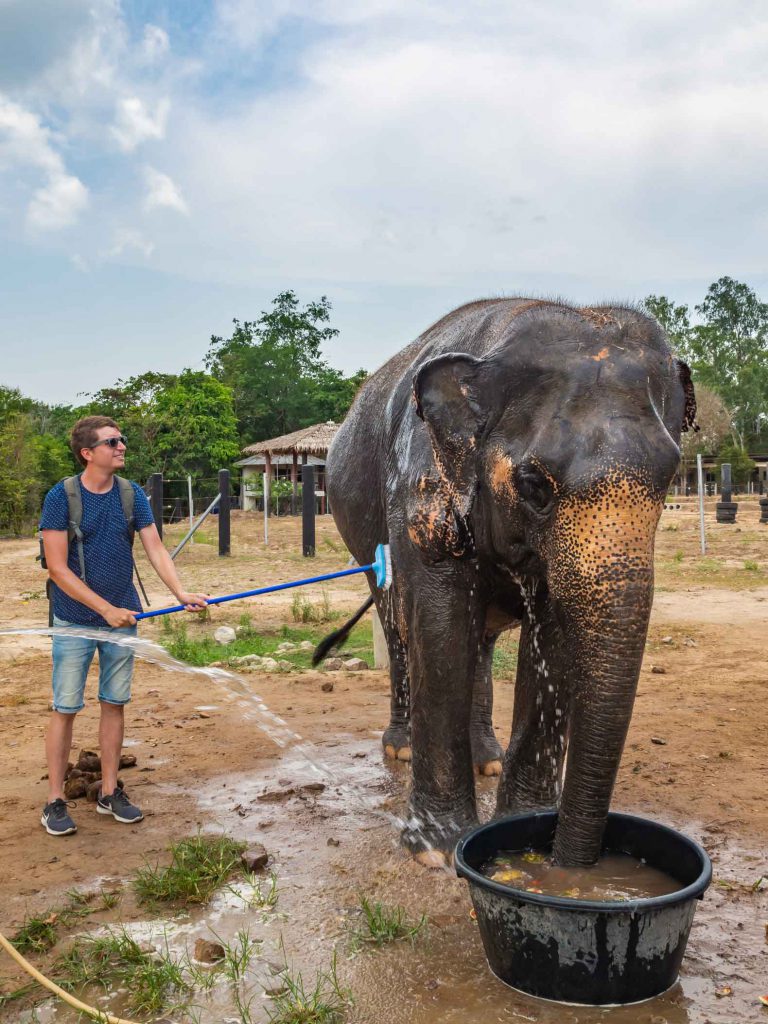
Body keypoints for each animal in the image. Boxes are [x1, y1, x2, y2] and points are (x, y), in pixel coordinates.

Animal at [321, 299, 696, 868]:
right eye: (534, 484)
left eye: (671, 477)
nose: (569, 862)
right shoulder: (419, 484)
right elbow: (438, 624)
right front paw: (437, 851)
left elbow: (552, 631)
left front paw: (521, 823)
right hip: (364, 540)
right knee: (398, 624)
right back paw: (401, 748)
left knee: (479, 640)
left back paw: (488, 761)